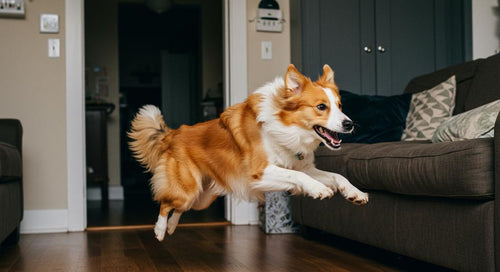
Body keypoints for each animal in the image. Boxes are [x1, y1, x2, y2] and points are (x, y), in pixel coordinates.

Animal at [129, 65, 370, 241]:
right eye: (321, 107)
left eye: (340, 106)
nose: (349, 124)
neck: (285, 128)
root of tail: (174, 133)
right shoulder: (259, 172)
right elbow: (298, 176)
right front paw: (318, 189)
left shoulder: (301, 165)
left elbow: (336, 176)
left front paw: (354, 193)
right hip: (188, 190)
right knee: (165, 203)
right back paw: (160, 230)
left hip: (201, 198)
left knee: (178, 208)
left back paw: (171, 227)